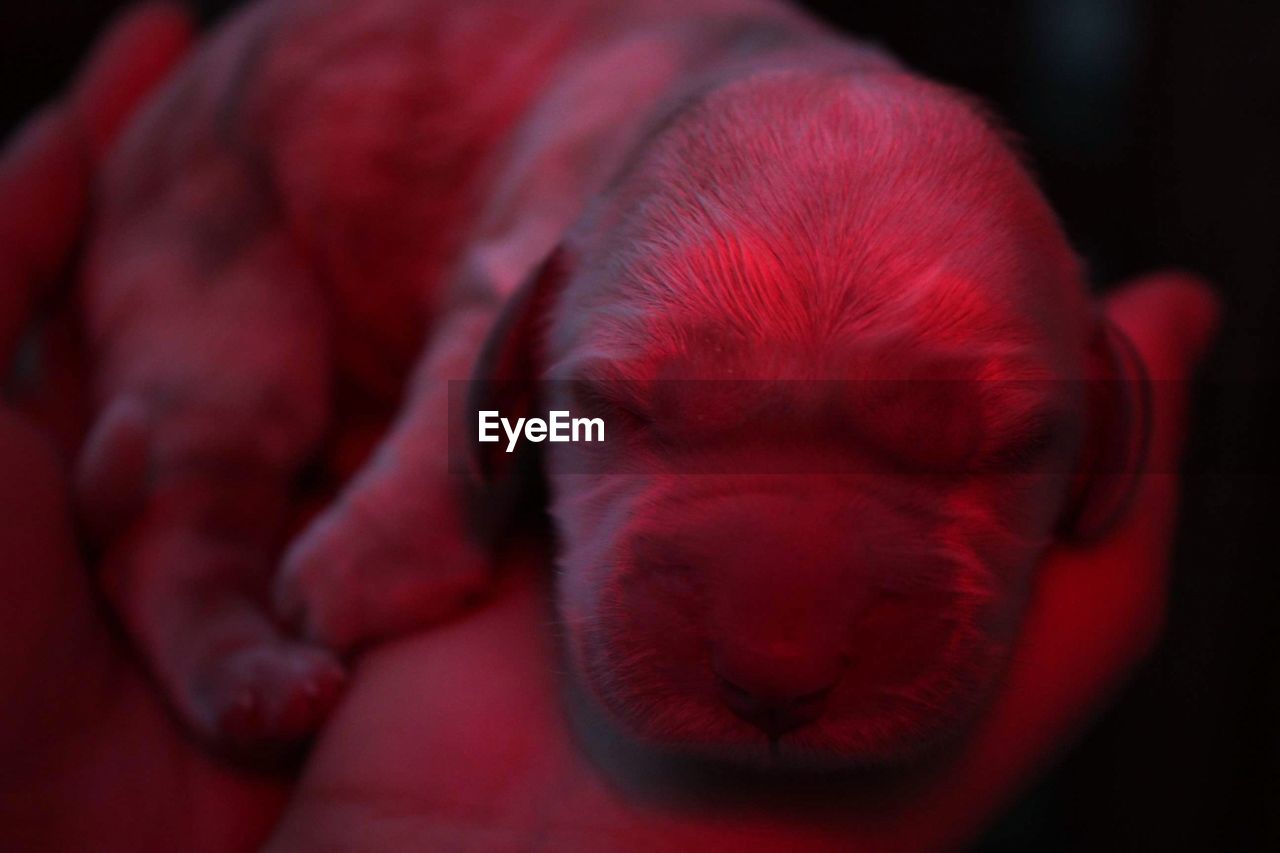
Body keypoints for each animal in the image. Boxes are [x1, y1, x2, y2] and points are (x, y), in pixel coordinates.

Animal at [77, 0, 1152, 758]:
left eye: (998, 452)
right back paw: (255, 677)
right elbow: (441, 429)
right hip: (224, 280)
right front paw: (365, 567)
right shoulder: (507, 265)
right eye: (620, 414)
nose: (774, 681)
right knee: (173, 525)